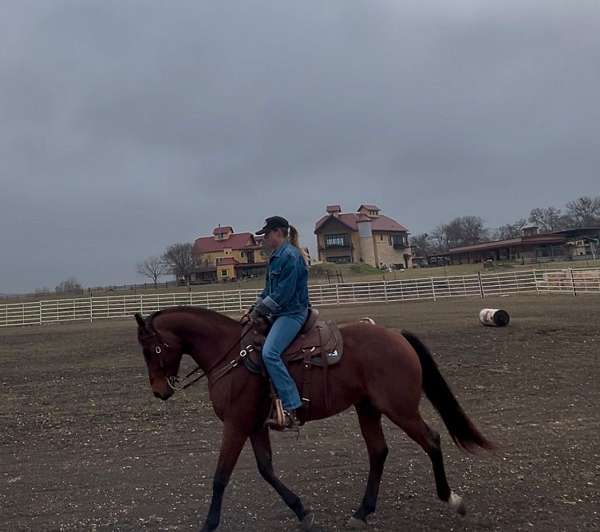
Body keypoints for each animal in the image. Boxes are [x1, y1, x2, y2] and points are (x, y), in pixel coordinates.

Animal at [135, 308, 492, 532]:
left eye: (152, 349)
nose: (158, 391)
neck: (231, 354)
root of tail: (396, 336)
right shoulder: (253, 425)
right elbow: (266, 469)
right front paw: (302, 511)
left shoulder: (236, 425)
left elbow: (220, 476)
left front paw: (209, 524)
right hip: (368, 408)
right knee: (378, 451)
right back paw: (362, 512)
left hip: (399, 409)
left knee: (431, 440)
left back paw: (452, 500)